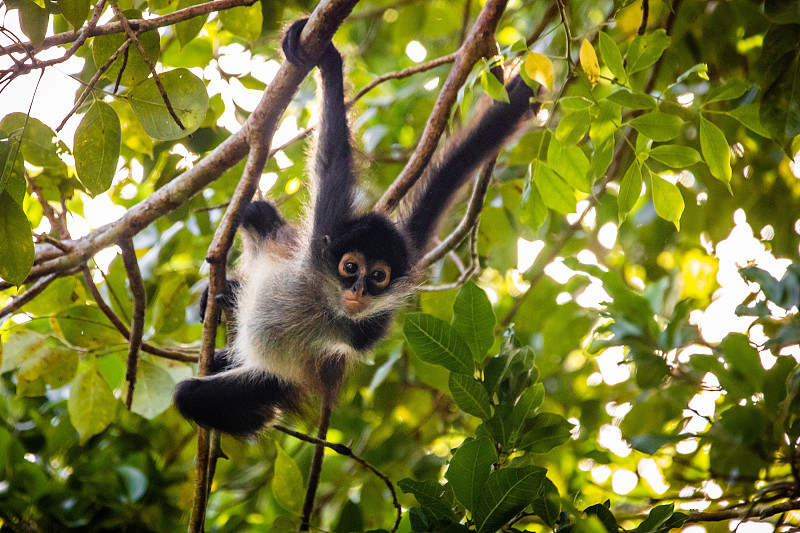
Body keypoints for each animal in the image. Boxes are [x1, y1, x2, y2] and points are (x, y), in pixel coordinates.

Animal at [174, 19, 536, 436]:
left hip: (270, 377)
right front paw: (329, 62)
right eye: (350, 267)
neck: (323, 298)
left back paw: (259, 407)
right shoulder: (326, 228)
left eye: (378, 277)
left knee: (200, 394)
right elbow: (331, 161)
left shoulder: (367, 329)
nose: (359, 291)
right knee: (257, 213)